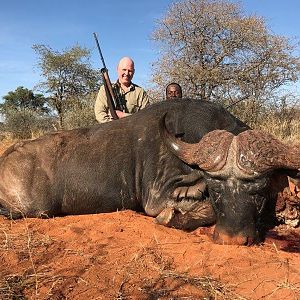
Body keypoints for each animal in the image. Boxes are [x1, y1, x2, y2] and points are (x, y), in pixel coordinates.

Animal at [0, 99, 298, 245]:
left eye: (259, 191)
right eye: (215, 189)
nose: (231, 239)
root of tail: (6, 157)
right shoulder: (156, 199)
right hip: (34, 209)